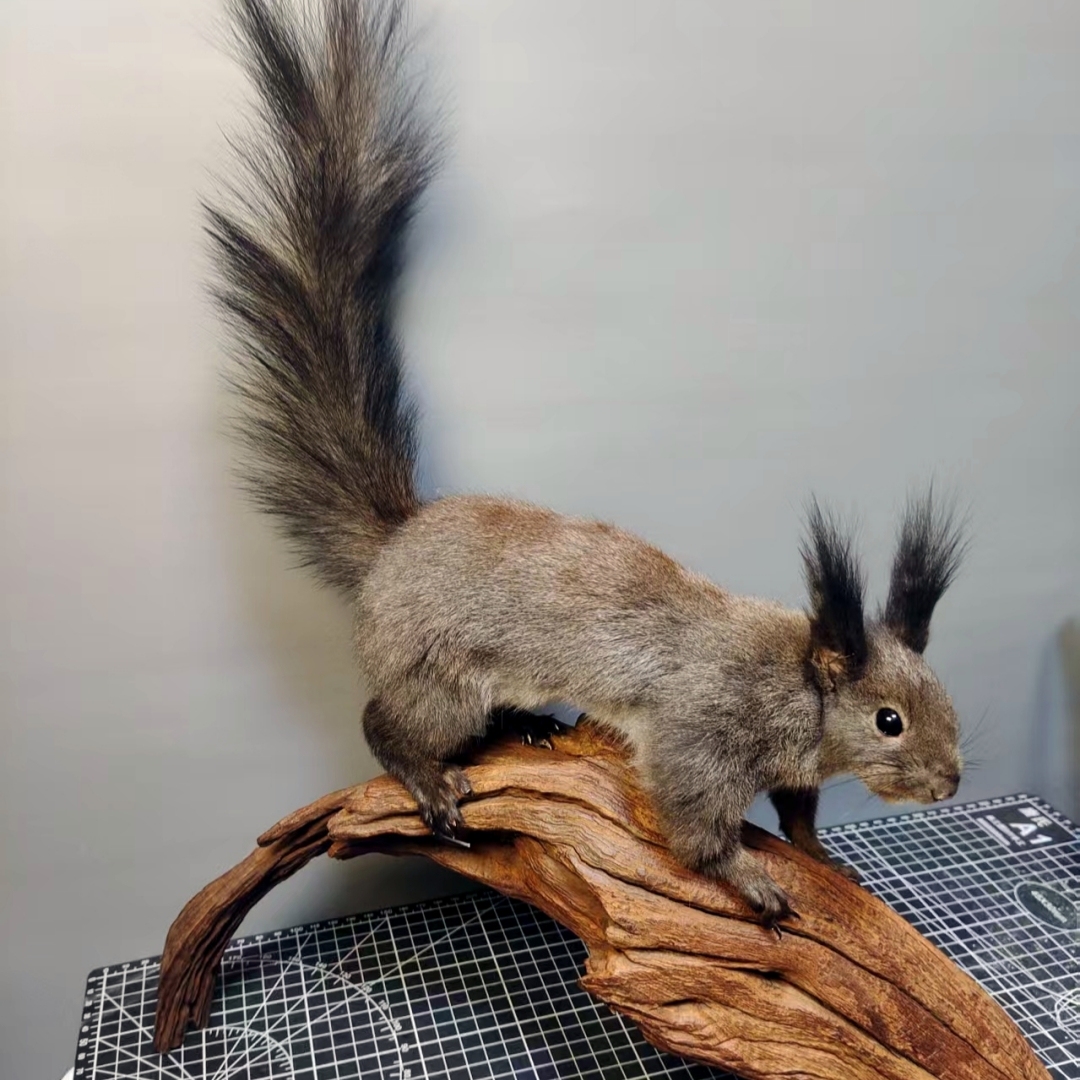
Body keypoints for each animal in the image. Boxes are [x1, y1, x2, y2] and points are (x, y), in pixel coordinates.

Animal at [207, 0, 967, 928]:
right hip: (438, 674)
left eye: (941, 695)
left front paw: (823, 858)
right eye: (890, 720)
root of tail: (396, 545)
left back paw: (531, 727)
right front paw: (748, 878)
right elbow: (693, 820)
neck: (797, 683)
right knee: (387, 723)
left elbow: (798, 812)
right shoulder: (703, 732)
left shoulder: (789, 770)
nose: (950, 783)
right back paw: (429, 774)